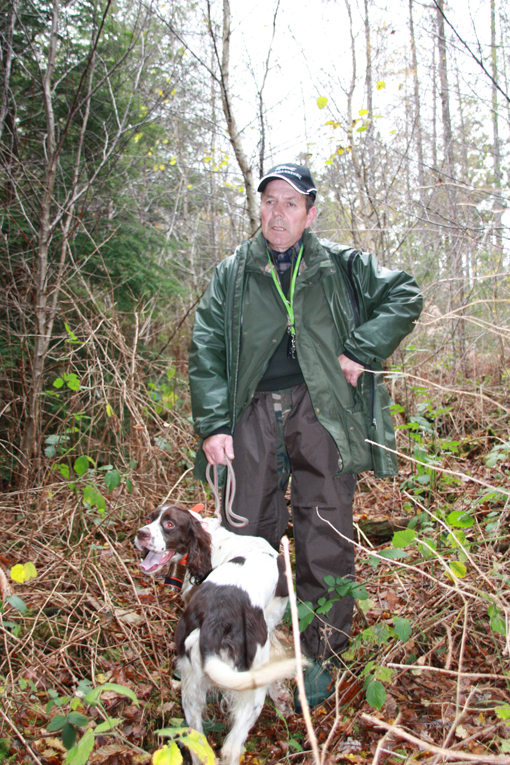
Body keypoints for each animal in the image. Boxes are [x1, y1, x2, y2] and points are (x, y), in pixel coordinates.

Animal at [135, 504, 294, 760]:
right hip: (251, 687)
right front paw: (282, 698)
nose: (141, 534)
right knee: (231, 748)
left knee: (198, 744)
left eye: (169, 524)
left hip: (190, 695)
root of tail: (216, 618)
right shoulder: (271, 618)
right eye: (150, 519)